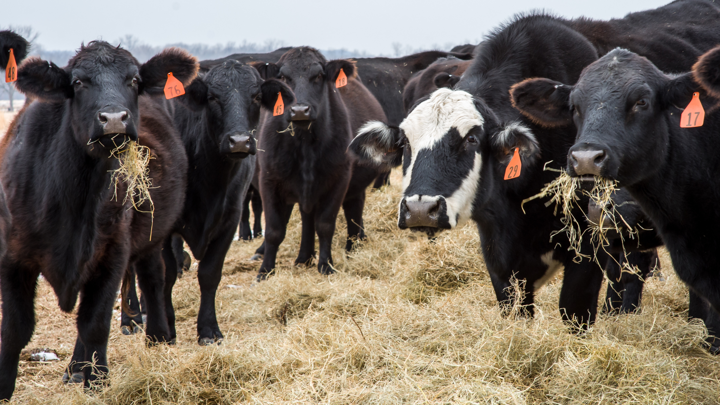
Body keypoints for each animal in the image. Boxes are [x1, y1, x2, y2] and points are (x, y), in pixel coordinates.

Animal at [0, 41, 197, 398]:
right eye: (78, 82)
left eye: (134, 80)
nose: (115, 119)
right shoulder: (13, 256)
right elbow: (15, 329)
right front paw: (4, 387)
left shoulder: (112, 253)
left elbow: (95, 322)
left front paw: (99, 380)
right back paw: (76, 369)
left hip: (151, 239)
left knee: (153, 279)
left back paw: (158, 337)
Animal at [253, 46, 388, 280]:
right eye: (283, 77)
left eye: (317, 76)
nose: (299, 110)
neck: (304, 143)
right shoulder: (269, 181)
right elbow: (274, 231)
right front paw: (265, 272)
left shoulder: (338, 180)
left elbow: (325, 225)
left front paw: (326, 265)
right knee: (307, 218)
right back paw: (303, 257)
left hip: (352, 187)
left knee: (353, 211)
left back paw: (352, 248)